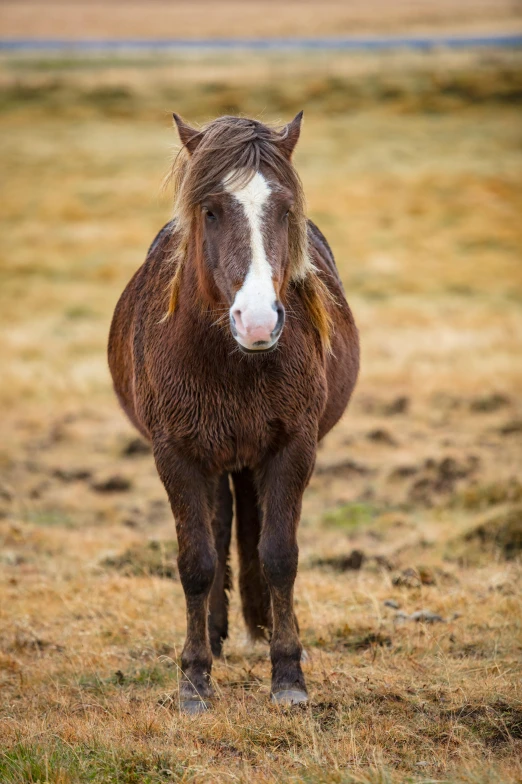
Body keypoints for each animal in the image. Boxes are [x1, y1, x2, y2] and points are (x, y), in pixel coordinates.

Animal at [105, 112, 358, 716]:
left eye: (286, 208)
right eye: (211, 210)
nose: (259, 321)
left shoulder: (293, 447)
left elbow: (279, 554)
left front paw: (288, 675)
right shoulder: (176, 454)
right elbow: (195, 561)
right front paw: (194, 680)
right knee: (219, 529)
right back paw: (217, 636)